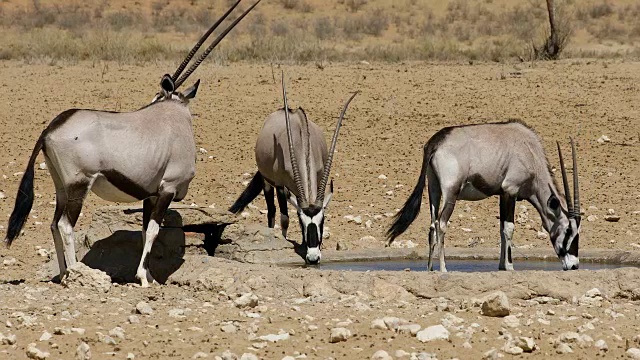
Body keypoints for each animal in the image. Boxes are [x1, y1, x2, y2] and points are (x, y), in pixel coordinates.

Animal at [5, 0, 260, 286]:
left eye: (155, 95)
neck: (175, 115)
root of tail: (50, 128)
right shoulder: (167, 189)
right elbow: (154, 230)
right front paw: (144, 279)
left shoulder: (151, 194)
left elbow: (145, 231)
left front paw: (149, 276)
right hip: (80, 184)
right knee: (65, 226)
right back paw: (74, 273)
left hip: (62, 186)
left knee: (53, 224)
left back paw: (62, 275)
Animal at [231, 74, 360, 264]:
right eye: (301, 220)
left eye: (322, 220)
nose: (313, 258)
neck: (302, 143)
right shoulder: (280, 185)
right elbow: (284, 218)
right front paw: (284, 242)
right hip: (267, 181)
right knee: (272, 211)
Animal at [388, 119, 584, 272]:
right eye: (568, 230)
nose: (574, 265)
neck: (529, 151)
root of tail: (436, 142)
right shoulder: (510, 190)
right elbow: (509, 228)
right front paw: (510, 266)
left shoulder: (502, 194)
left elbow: (501, 229)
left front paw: (501, 265)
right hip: (451, 192)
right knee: (441, 224)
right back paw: (443, 268)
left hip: (434, 191)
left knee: (431, 226)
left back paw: (430, 269)